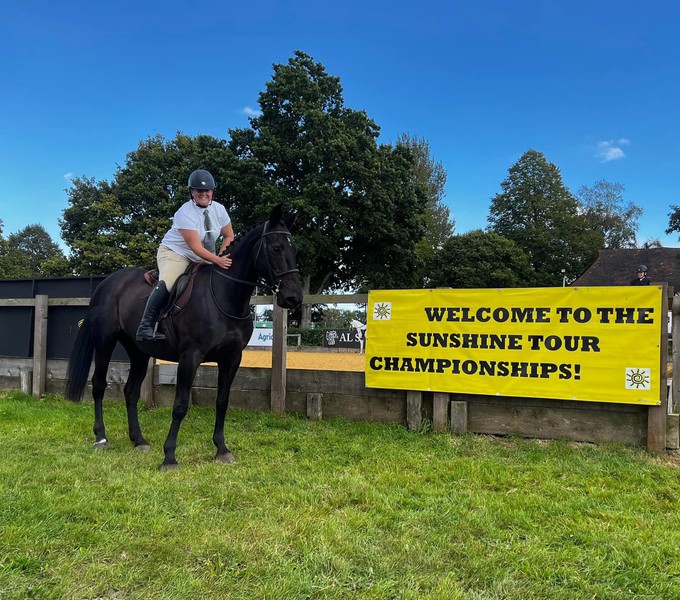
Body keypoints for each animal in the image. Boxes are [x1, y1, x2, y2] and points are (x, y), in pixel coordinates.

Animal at [65, 205, 303, 469]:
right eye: (276, 248)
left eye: (294, 249)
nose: (293, 298)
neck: (223, 296)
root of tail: (106, 284)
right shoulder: (191, 356)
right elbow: (180, 405)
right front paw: (169, 456)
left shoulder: (232, 358)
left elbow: (222, 401)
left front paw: (222, 449)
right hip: (105, 342)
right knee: (98, 385)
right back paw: (101, 437)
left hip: (138, 351)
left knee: (131, 392)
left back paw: (139, 440)